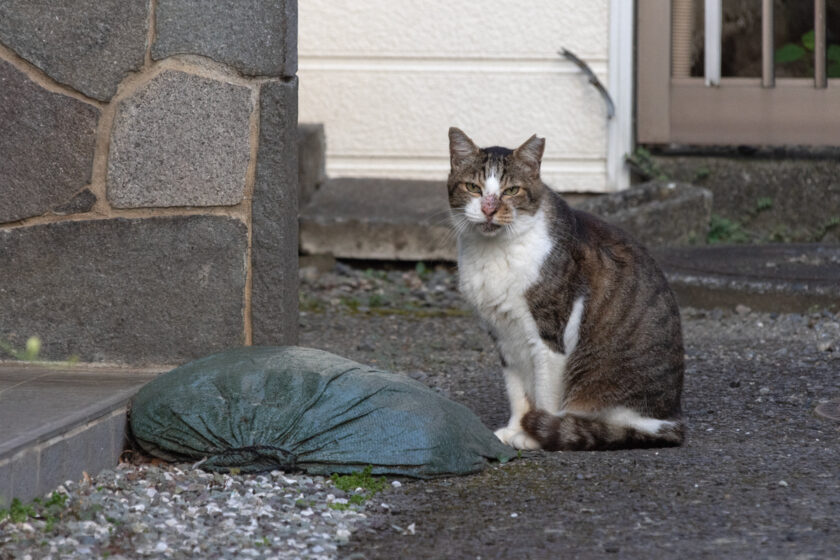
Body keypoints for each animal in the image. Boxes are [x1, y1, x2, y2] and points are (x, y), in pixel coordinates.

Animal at [446, 127, 684, 450]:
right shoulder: (503, 335)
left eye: (511, 191)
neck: (493, 253)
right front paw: (513, 429)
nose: (489, 208)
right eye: (473, 187)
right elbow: (516, 390)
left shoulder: (549, 337)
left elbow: (545, 396)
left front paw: (532, 436)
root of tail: (670, 421)